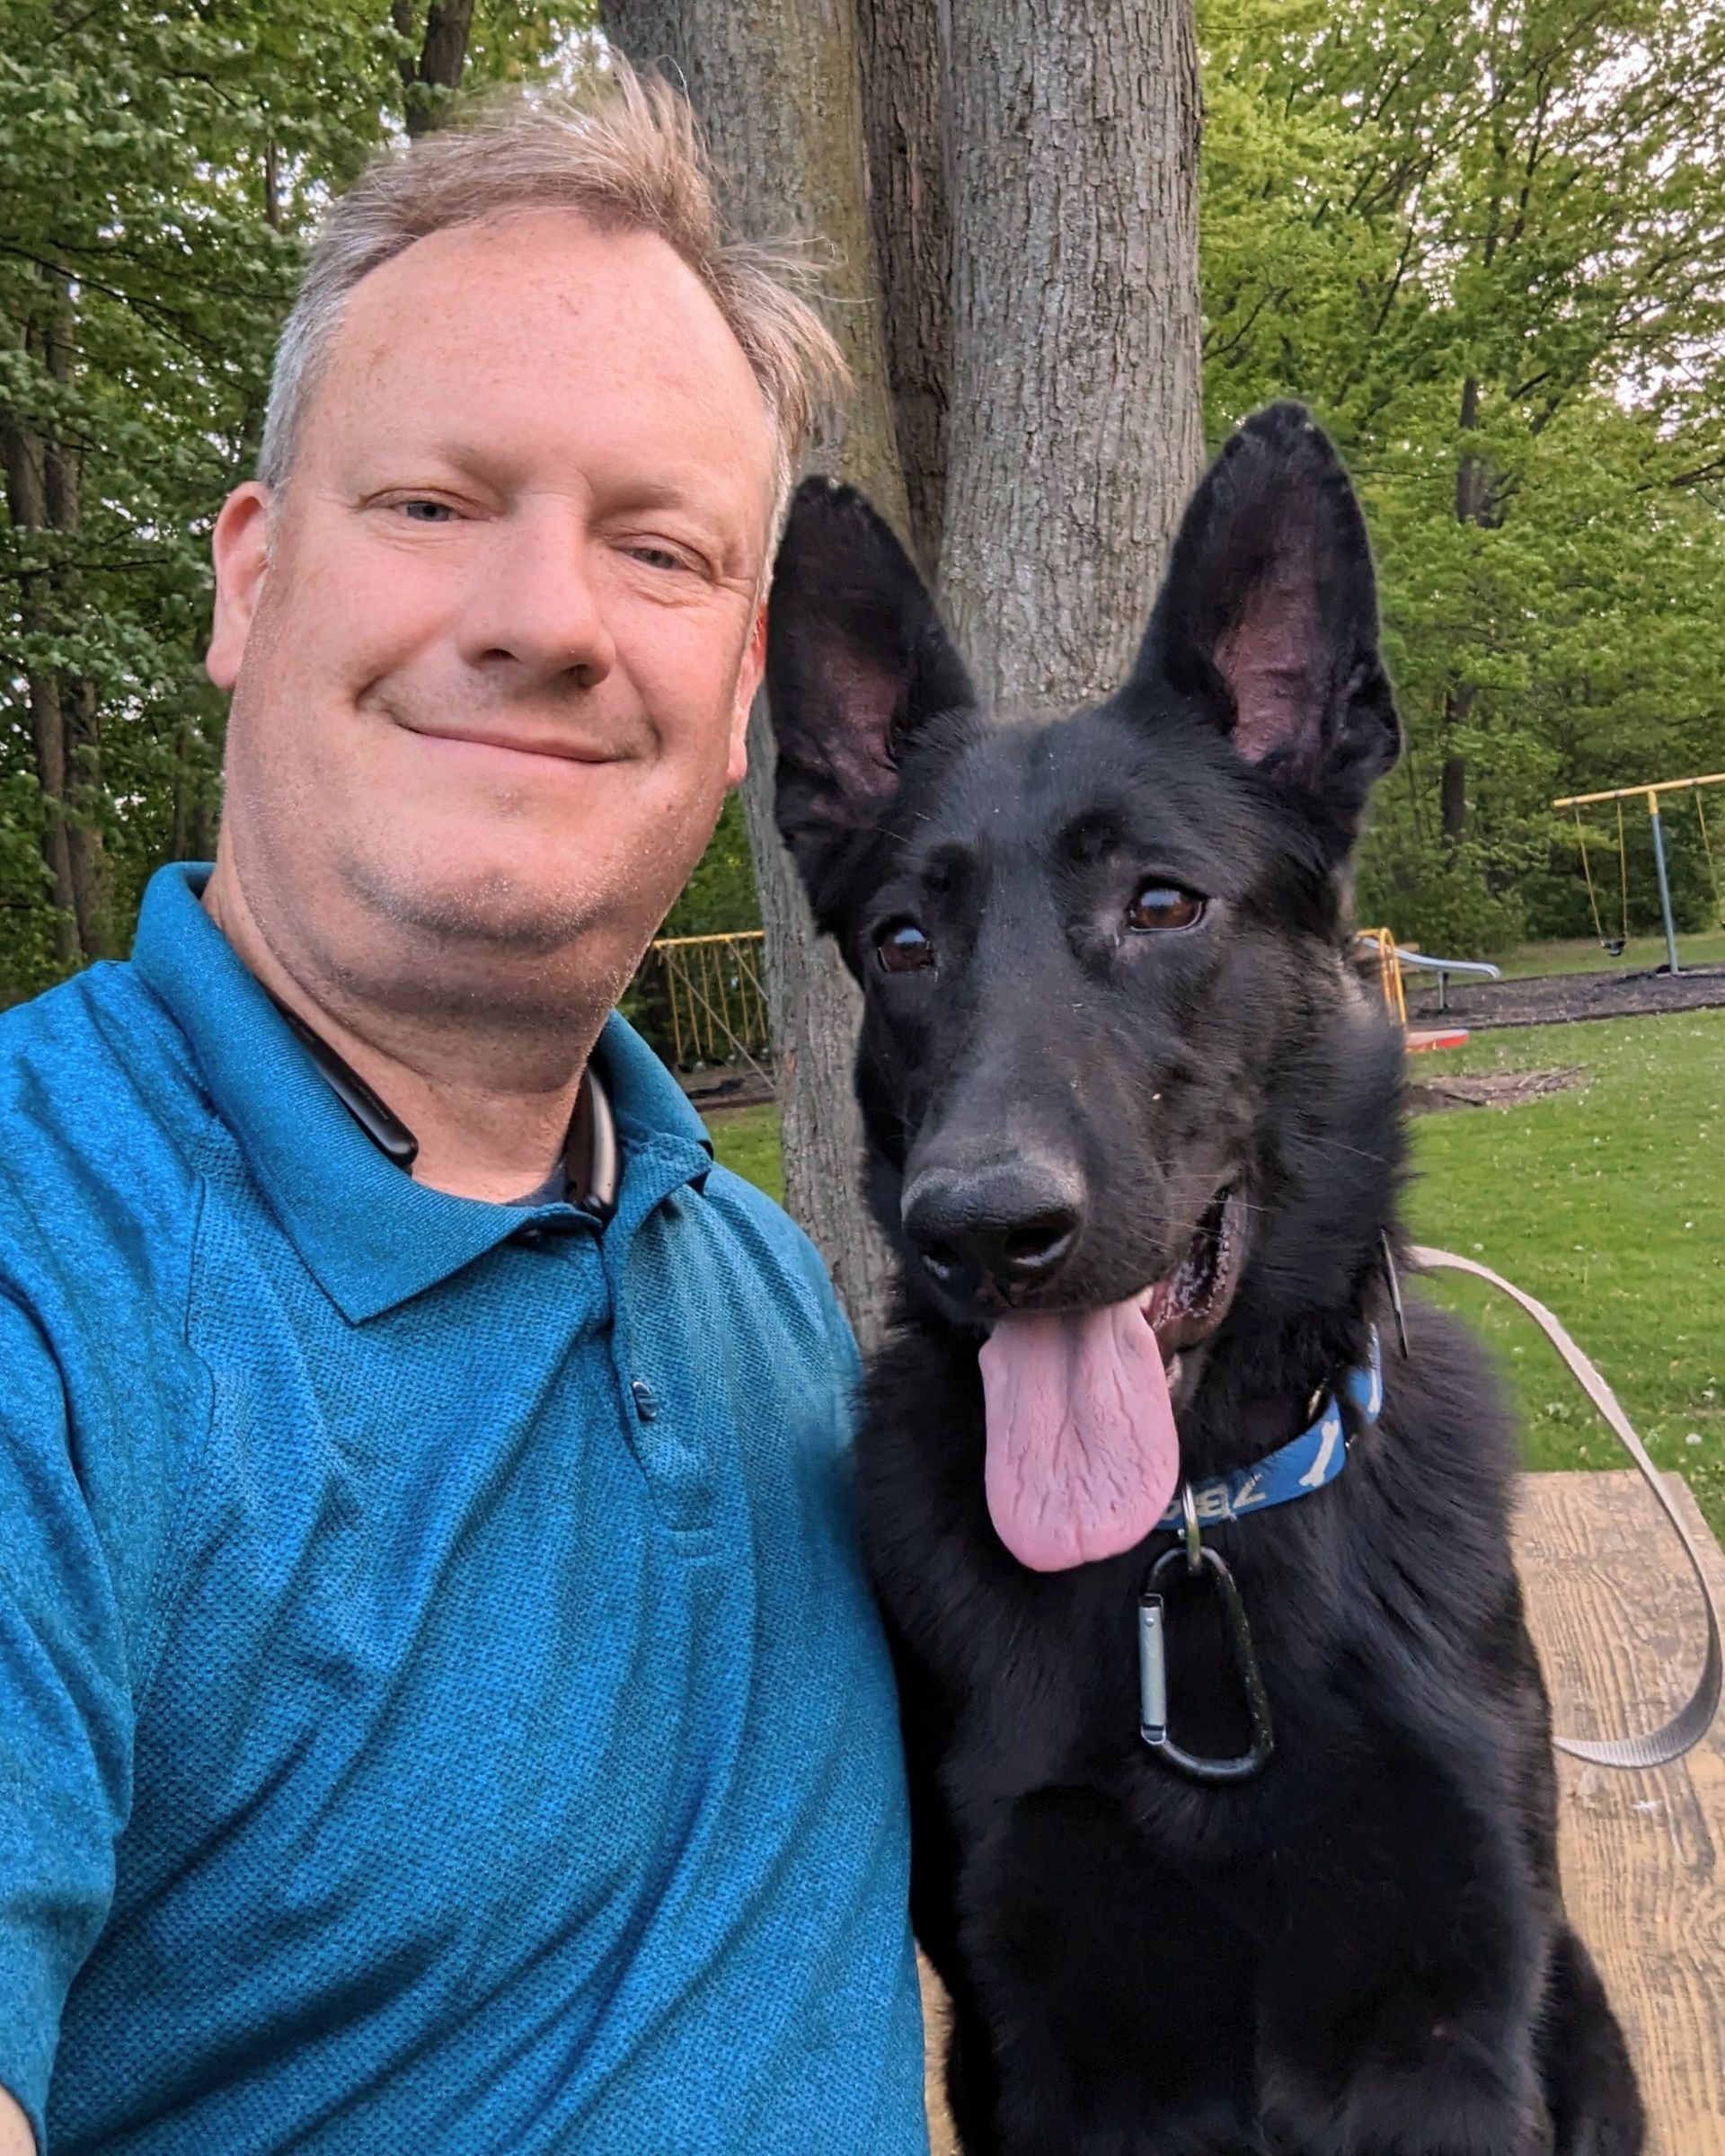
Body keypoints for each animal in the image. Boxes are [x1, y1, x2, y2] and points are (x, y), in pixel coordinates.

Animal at [767, 407, 1647, 2156]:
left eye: (1161, 904)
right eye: (903, 943)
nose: (984, 1230)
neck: (1192, 1539)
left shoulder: (1454, 2024)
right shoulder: (1046, 2050)